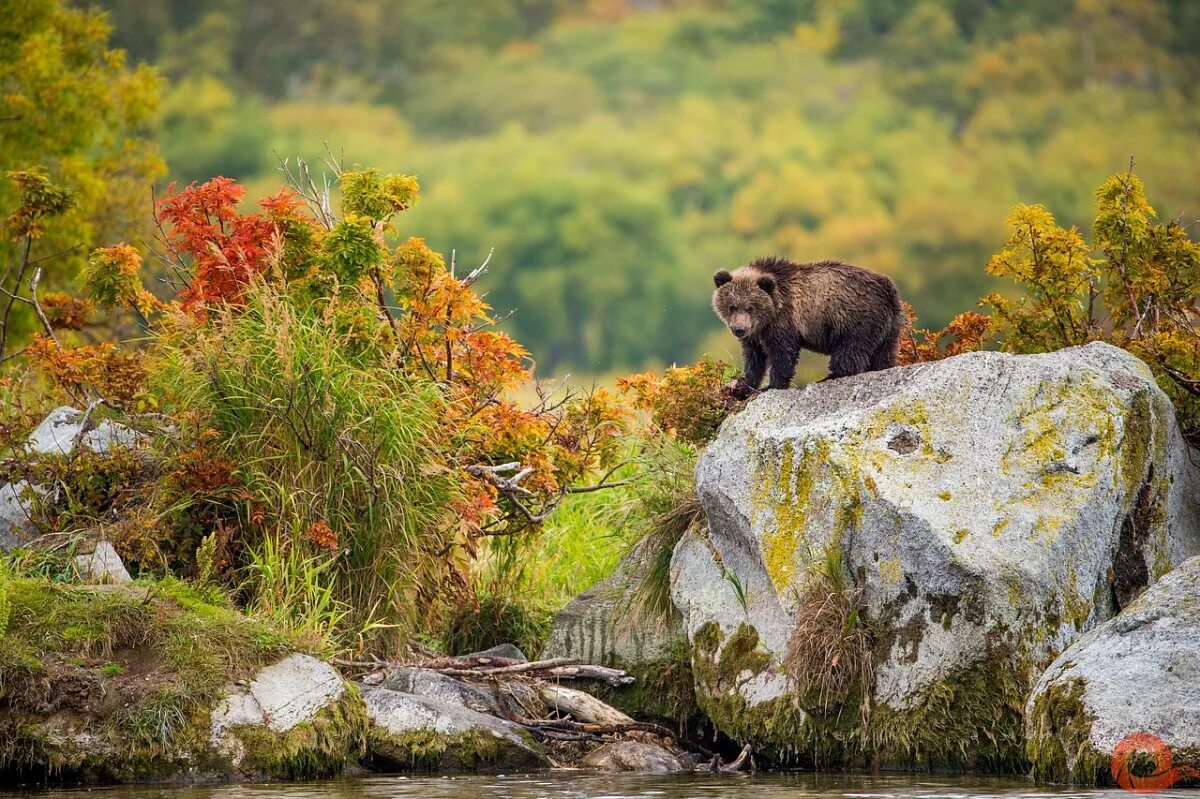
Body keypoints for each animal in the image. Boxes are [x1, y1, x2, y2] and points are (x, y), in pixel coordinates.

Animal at [710, 253, 902, 393]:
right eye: (732, 307)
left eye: (750, 307)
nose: (739, 329)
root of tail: (888, 288)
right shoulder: (756, 334)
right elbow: (754, 357)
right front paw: (744, 383)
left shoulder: (784, 321)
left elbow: (782, 354)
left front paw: (772, 385)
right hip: (888, 328)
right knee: (883, 355)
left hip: (855, 319)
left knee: (850, 351)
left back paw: (830, 376)